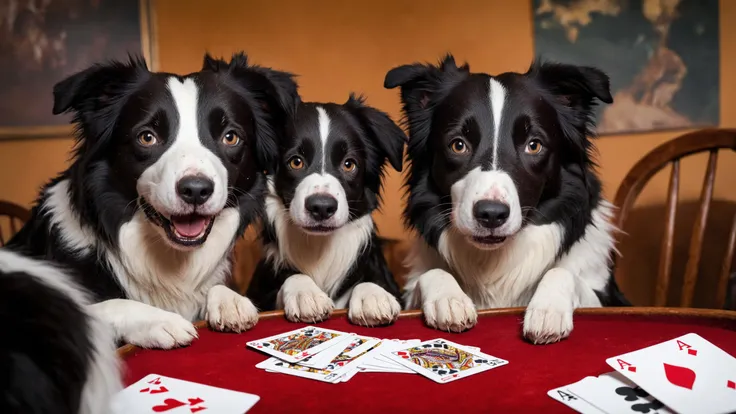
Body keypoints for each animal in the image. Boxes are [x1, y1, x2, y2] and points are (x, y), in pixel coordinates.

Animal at [5, 51, 300, 350]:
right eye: (147, 137)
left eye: (230, 136)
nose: (196, 190)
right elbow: (101, 307)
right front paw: (160, 320)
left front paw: (229, 300)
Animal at [247, 94, 408, 326]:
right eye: (296, 162)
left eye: (349, 164)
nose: (322, 207)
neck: (319, 248)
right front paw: (305, 293)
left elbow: (371, 281)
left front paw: (373, 295)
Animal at [382, 56, 628, 344]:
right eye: (458, 145)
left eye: (534, 145)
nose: (491, 215)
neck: (496, 260)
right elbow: (432, 273)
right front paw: (449, 298)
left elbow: (562, 272)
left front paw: (547, 309)